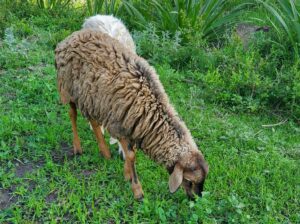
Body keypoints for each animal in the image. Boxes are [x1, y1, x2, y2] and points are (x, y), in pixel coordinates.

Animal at [54, 29, 209, 200]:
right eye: (188, 180)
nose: (195, 198)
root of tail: (71, 37)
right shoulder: (119, 124)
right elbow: (131, 155)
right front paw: (137, 190)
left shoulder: (132, 125)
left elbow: (130, 153)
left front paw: (127, 174)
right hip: (68, 87)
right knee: (72, 114)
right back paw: (77, 147)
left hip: (92, 98)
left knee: (93, 121)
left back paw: (105, 152)